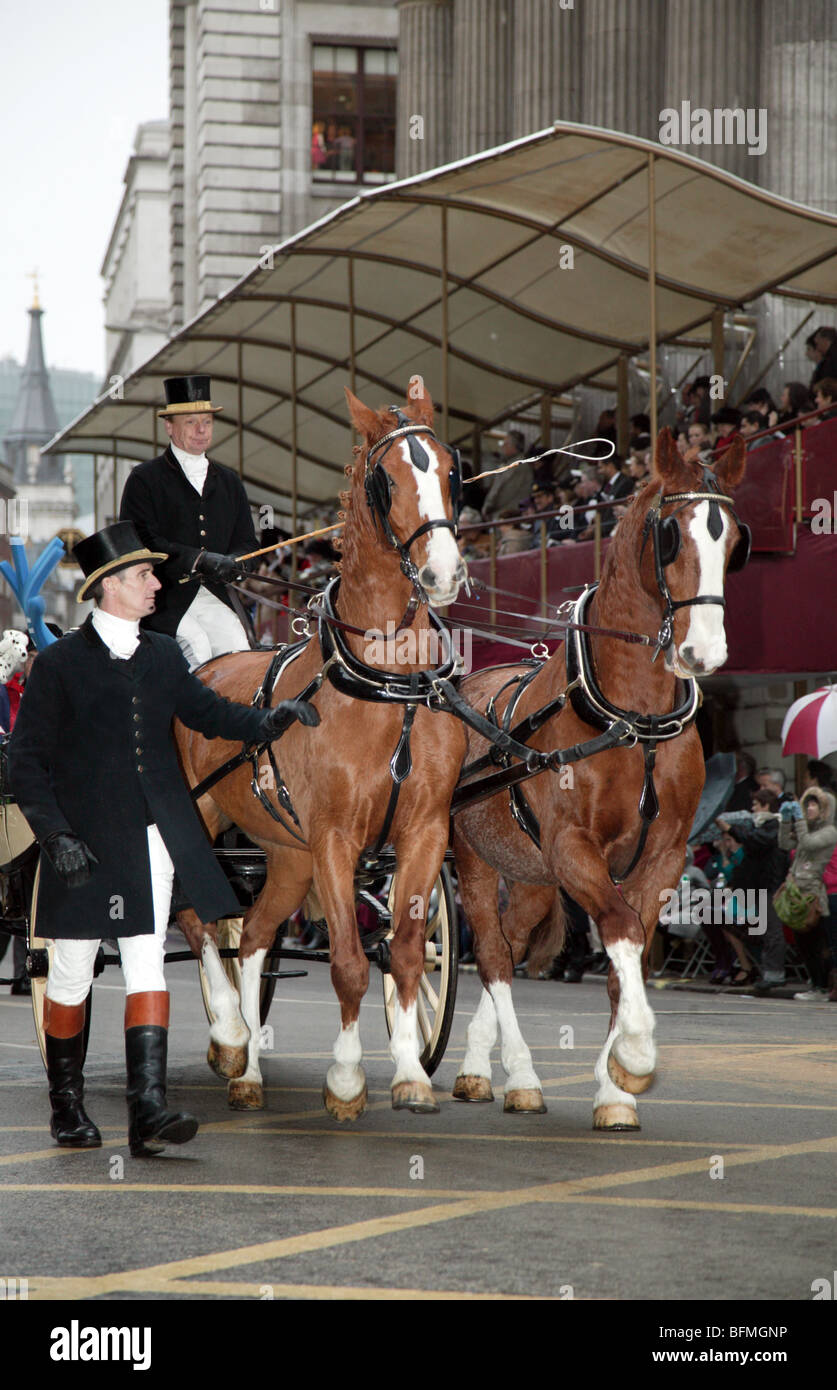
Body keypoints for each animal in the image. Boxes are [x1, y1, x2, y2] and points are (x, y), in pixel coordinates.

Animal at [172, 383, 467, 1117]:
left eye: (452, 469)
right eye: (386, 478)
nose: (444, 573)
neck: (388, 685)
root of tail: (206, 666)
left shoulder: (424, 831)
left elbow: (408, 954)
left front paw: (411, 1073)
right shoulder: (336, 836)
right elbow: (349, 963)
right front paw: (346, 1080)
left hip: (285, 854)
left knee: (251, 937)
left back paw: (247, 1069)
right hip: (195, 821)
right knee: (196, 918)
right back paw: (228, 1034)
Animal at [450, 430, 745, 1128]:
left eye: (734, 540)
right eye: (670, 535)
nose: (705, 652)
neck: (633, 724)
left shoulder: (662, 856)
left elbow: (624, 955)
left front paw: (614, 1089)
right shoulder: (573, 847)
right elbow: (618, 930)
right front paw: (635, 1055)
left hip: (530, 873)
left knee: (512, 944)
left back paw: (481, 1067)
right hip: (473, 861)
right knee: (494, 958)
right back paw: (521, 1075)